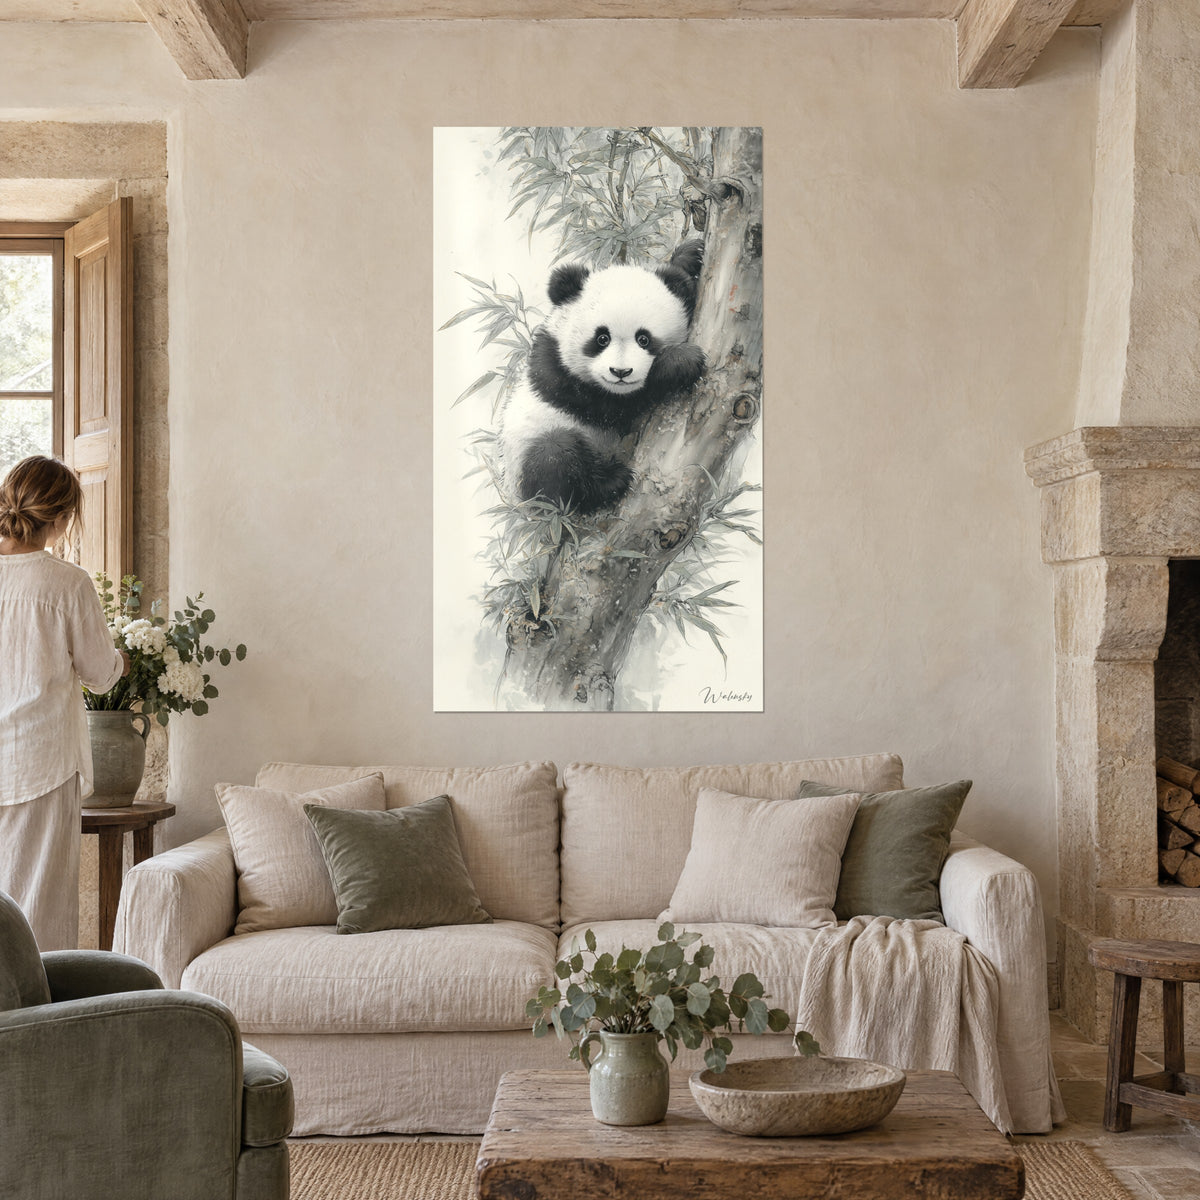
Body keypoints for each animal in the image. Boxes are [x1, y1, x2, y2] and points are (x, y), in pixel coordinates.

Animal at [499, 240, 705, 516]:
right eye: (601, 338)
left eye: (644, 339)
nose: (620, 372)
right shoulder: (557, 373)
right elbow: (617, 406)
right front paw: (681, 361)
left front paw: (690, 256)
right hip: (526, 467)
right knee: (554, 458)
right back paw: (609, 483)